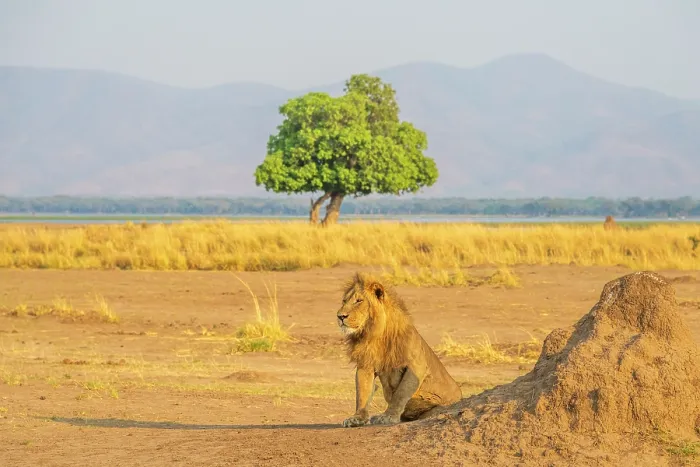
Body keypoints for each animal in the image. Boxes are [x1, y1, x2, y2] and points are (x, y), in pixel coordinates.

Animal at [336, 272, 462, 427]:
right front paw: (357, 418)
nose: (340, 316)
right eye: (344, 301)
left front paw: (388, 416)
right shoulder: (365, 365)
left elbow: (400, 393)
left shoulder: (417, 365)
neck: (375, 334)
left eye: (359, 301)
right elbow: (362, 393)